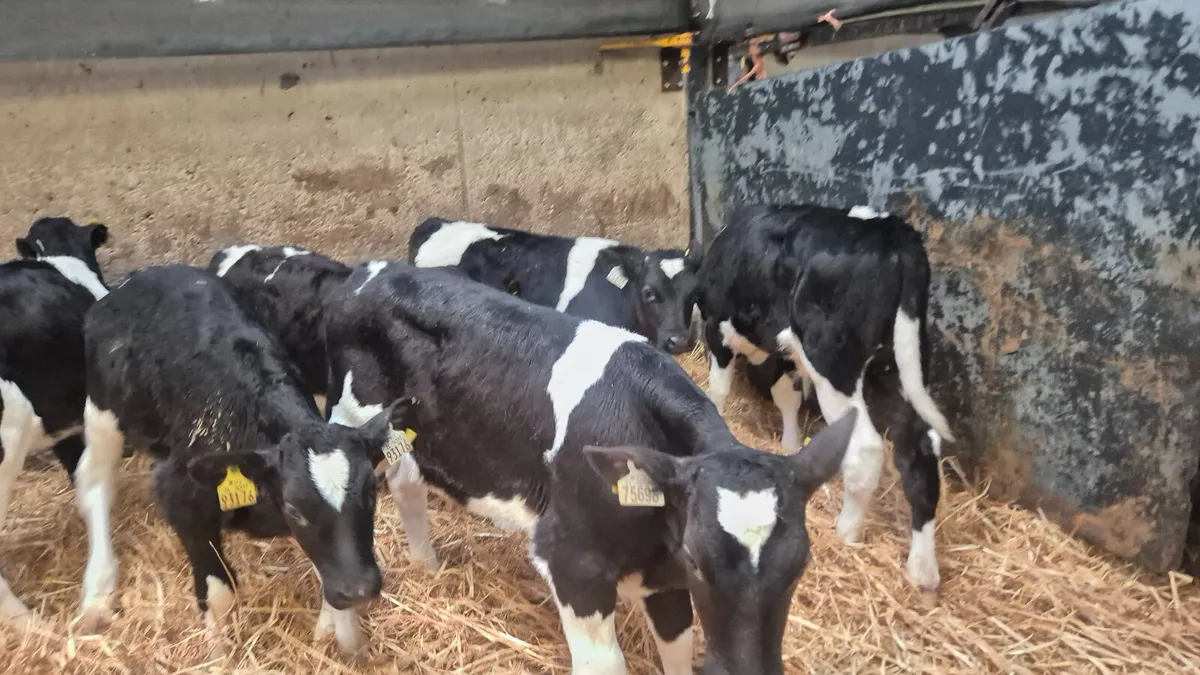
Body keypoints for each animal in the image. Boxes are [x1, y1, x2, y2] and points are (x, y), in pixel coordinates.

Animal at [73, 264, 416, 659]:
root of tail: (142, 275)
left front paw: (346, 642)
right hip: (103, 410)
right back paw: (97, 593)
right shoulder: (180, 496)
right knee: (94, 481)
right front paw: (217, 655)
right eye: (294, 509)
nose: (360, 590)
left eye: (372, 494)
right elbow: (218, 592)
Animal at [321, 260, 856, 675]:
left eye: (801, 564)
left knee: (407, 484)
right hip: (348, 421)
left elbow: (678, 649)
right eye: (697, 560)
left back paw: (426, 566)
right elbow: (606, 664)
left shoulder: (664, 578)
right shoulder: (572, 561)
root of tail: (367, 271)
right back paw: (340, 633)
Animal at [695, 203, 954, 595]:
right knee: (919, 449)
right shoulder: (787, 352)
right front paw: (789, 445)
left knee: (866, 448)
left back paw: (847, 530)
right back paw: (922, 569)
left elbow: (718, 389)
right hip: (898, 363)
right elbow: (786, 397)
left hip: (833, 363)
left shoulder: (720, 330)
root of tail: (888, 229)